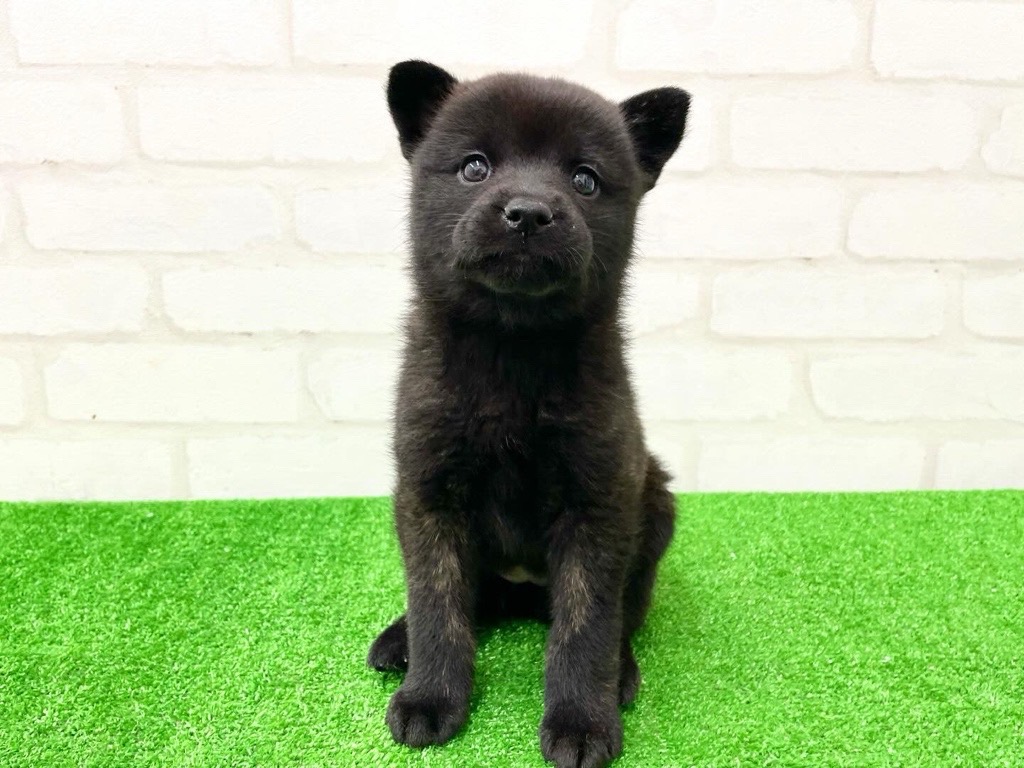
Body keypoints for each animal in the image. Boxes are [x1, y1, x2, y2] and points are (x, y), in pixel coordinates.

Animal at [368, 61, 688, 768]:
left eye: (585, 179)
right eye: (475, 167)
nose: (529, 213)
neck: (511, 352)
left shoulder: (597, 501)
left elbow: (586, 624)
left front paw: (581, 723)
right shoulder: (429, 491)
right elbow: (437, 602)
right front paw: (430, 697)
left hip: (653, 509)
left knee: (624, 614)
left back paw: (621, 674)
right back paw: (399, 644)